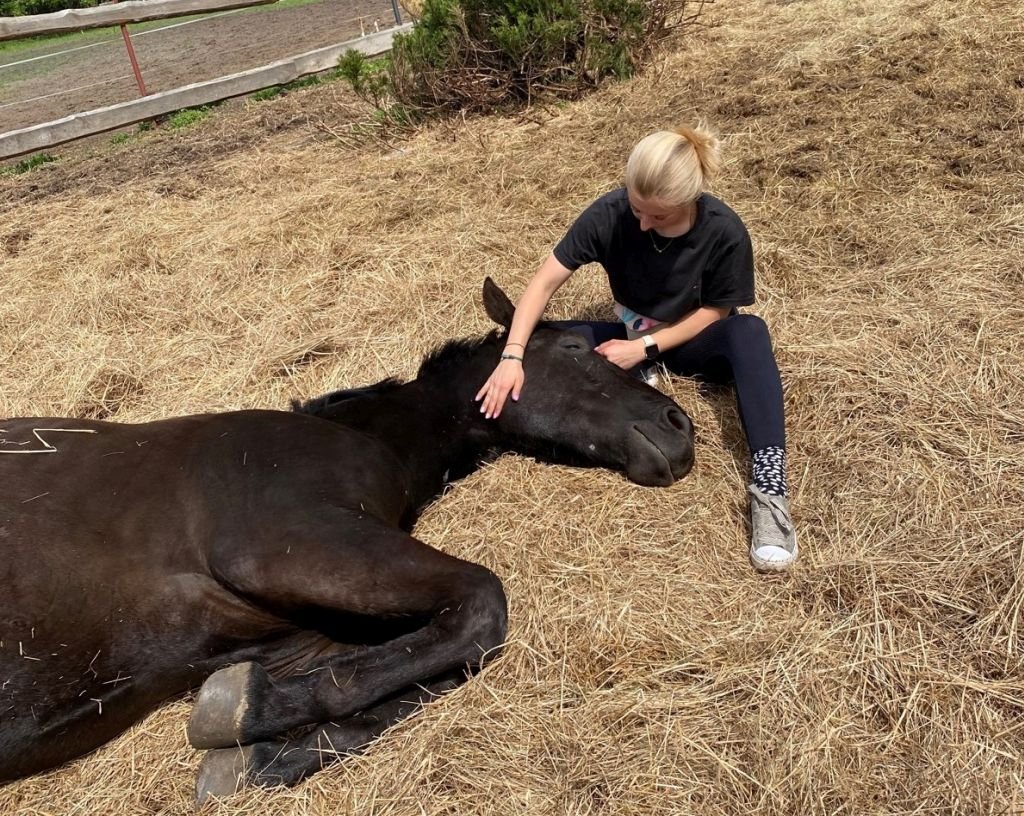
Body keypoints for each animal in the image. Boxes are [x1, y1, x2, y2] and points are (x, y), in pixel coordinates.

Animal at [0, 276, 696, 798]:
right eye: (577, 348)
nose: (679, 426)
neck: (361, 434)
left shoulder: (302, 636)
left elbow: (424, 670)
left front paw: (254, 754)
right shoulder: (287, 548)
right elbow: (481, 607)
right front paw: (237, 709)